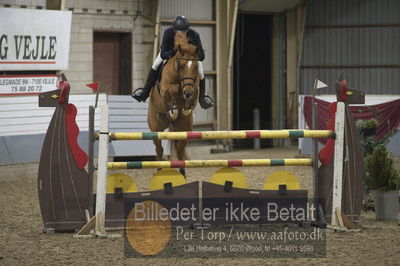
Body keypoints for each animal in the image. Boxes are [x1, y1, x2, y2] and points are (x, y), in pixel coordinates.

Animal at [148, 30, 199, 165]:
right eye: (181, 65)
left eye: (196, 67)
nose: (187, 92)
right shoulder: (165, 89)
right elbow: (173, 89)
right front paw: (174, 107)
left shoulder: (195, 89)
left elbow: (192, 99)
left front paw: (185, 107)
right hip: (156, 128)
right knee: (159, 150)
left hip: (184, 130)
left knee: (180, 151)